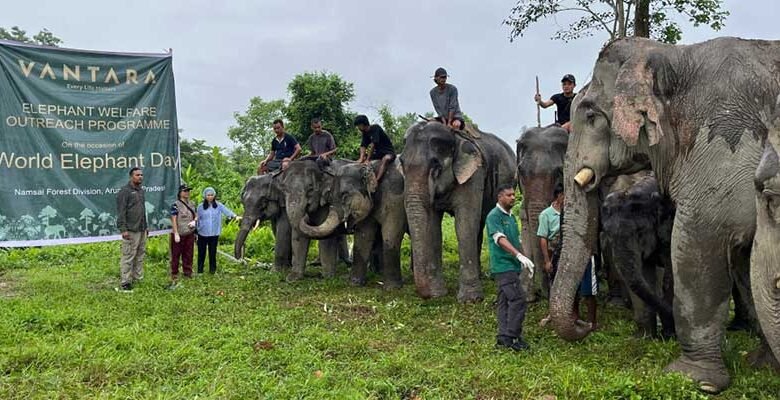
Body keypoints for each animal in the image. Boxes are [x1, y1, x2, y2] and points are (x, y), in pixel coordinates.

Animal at [298, 159, 406, 288]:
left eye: (344, 196)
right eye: (329, 197)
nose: (306, 212)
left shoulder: (394, 197)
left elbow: (391, 232)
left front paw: (391, 288)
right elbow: (363, 236)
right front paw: (354, 283)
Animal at [401, 121, 515, 302]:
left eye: (436, 165)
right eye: (401, 163)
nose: (426, 294)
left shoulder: (474, 175)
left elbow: (464, 225)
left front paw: (471, 300)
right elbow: (433, 228)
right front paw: (437, 294)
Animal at [552, 37, 780, 393]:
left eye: (590, 115)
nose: (584, 324)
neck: (674, 56)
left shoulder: (724, 141)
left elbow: (699, 241)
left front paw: (694, 379)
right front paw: (760, 365)